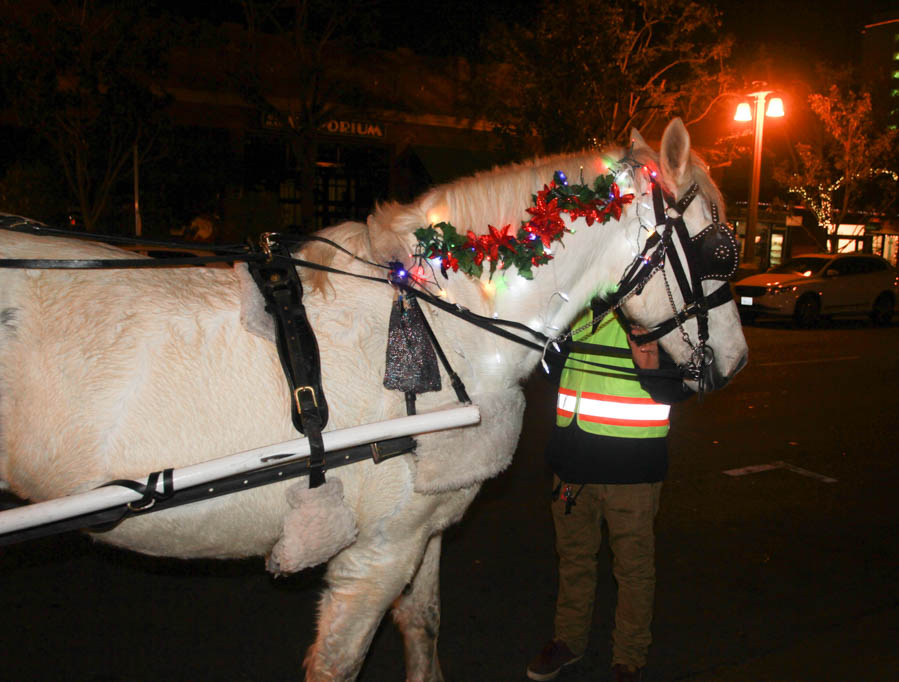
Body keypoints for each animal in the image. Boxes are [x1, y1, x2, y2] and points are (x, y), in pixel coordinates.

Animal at [0, 119, 744, 676]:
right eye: (721, 251)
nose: (735, 363)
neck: (441, 311)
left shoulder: (423, 527)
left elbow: (424, 626)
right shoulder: (378, 547)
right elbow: (340, 661)